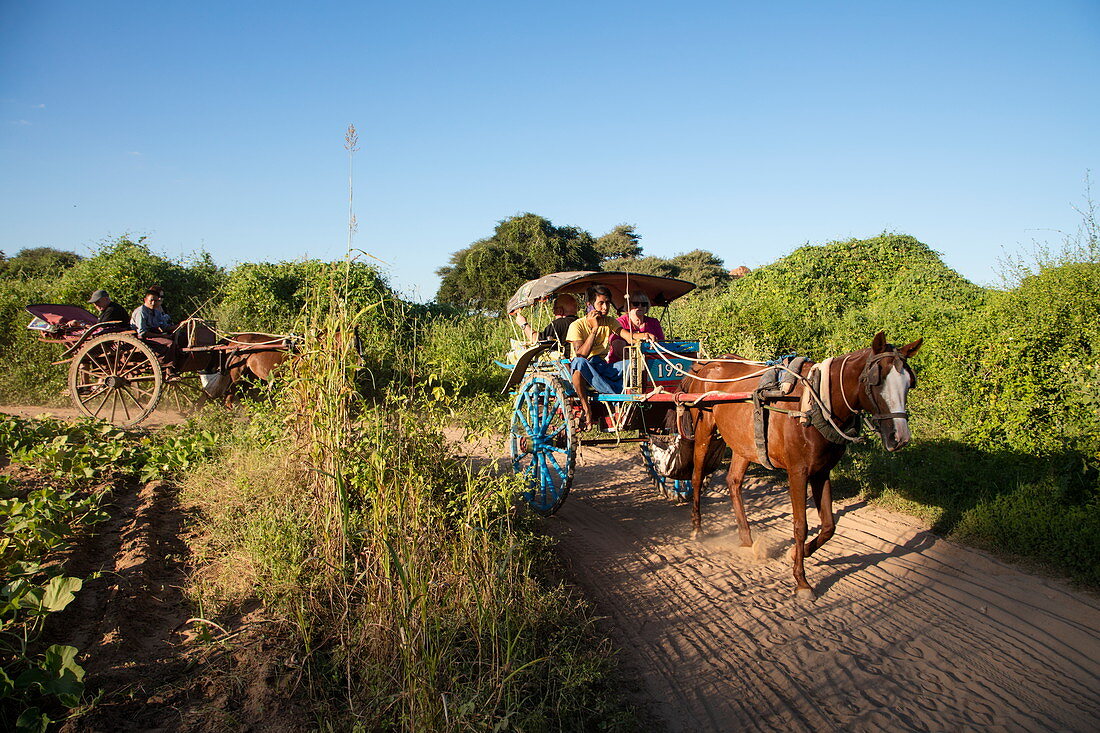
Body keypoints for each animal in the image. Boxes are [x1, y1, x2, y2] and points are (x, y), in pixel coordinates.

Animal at [682, 330, 924, 594]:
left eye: (909, 383)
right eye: (875, 381)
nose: (899, 437)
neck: (814, 405)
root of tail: (706, 365)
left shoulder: (822, 471)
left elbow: (829, 526)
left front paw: (799, 553)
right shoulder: (797, 471)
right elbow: (800, 526)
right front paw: (801, 580)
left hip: (743, 443)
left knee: (733, 482)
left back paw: (746, 538)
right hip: (704, 431)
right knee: (697, 477)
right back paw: (697, 528)